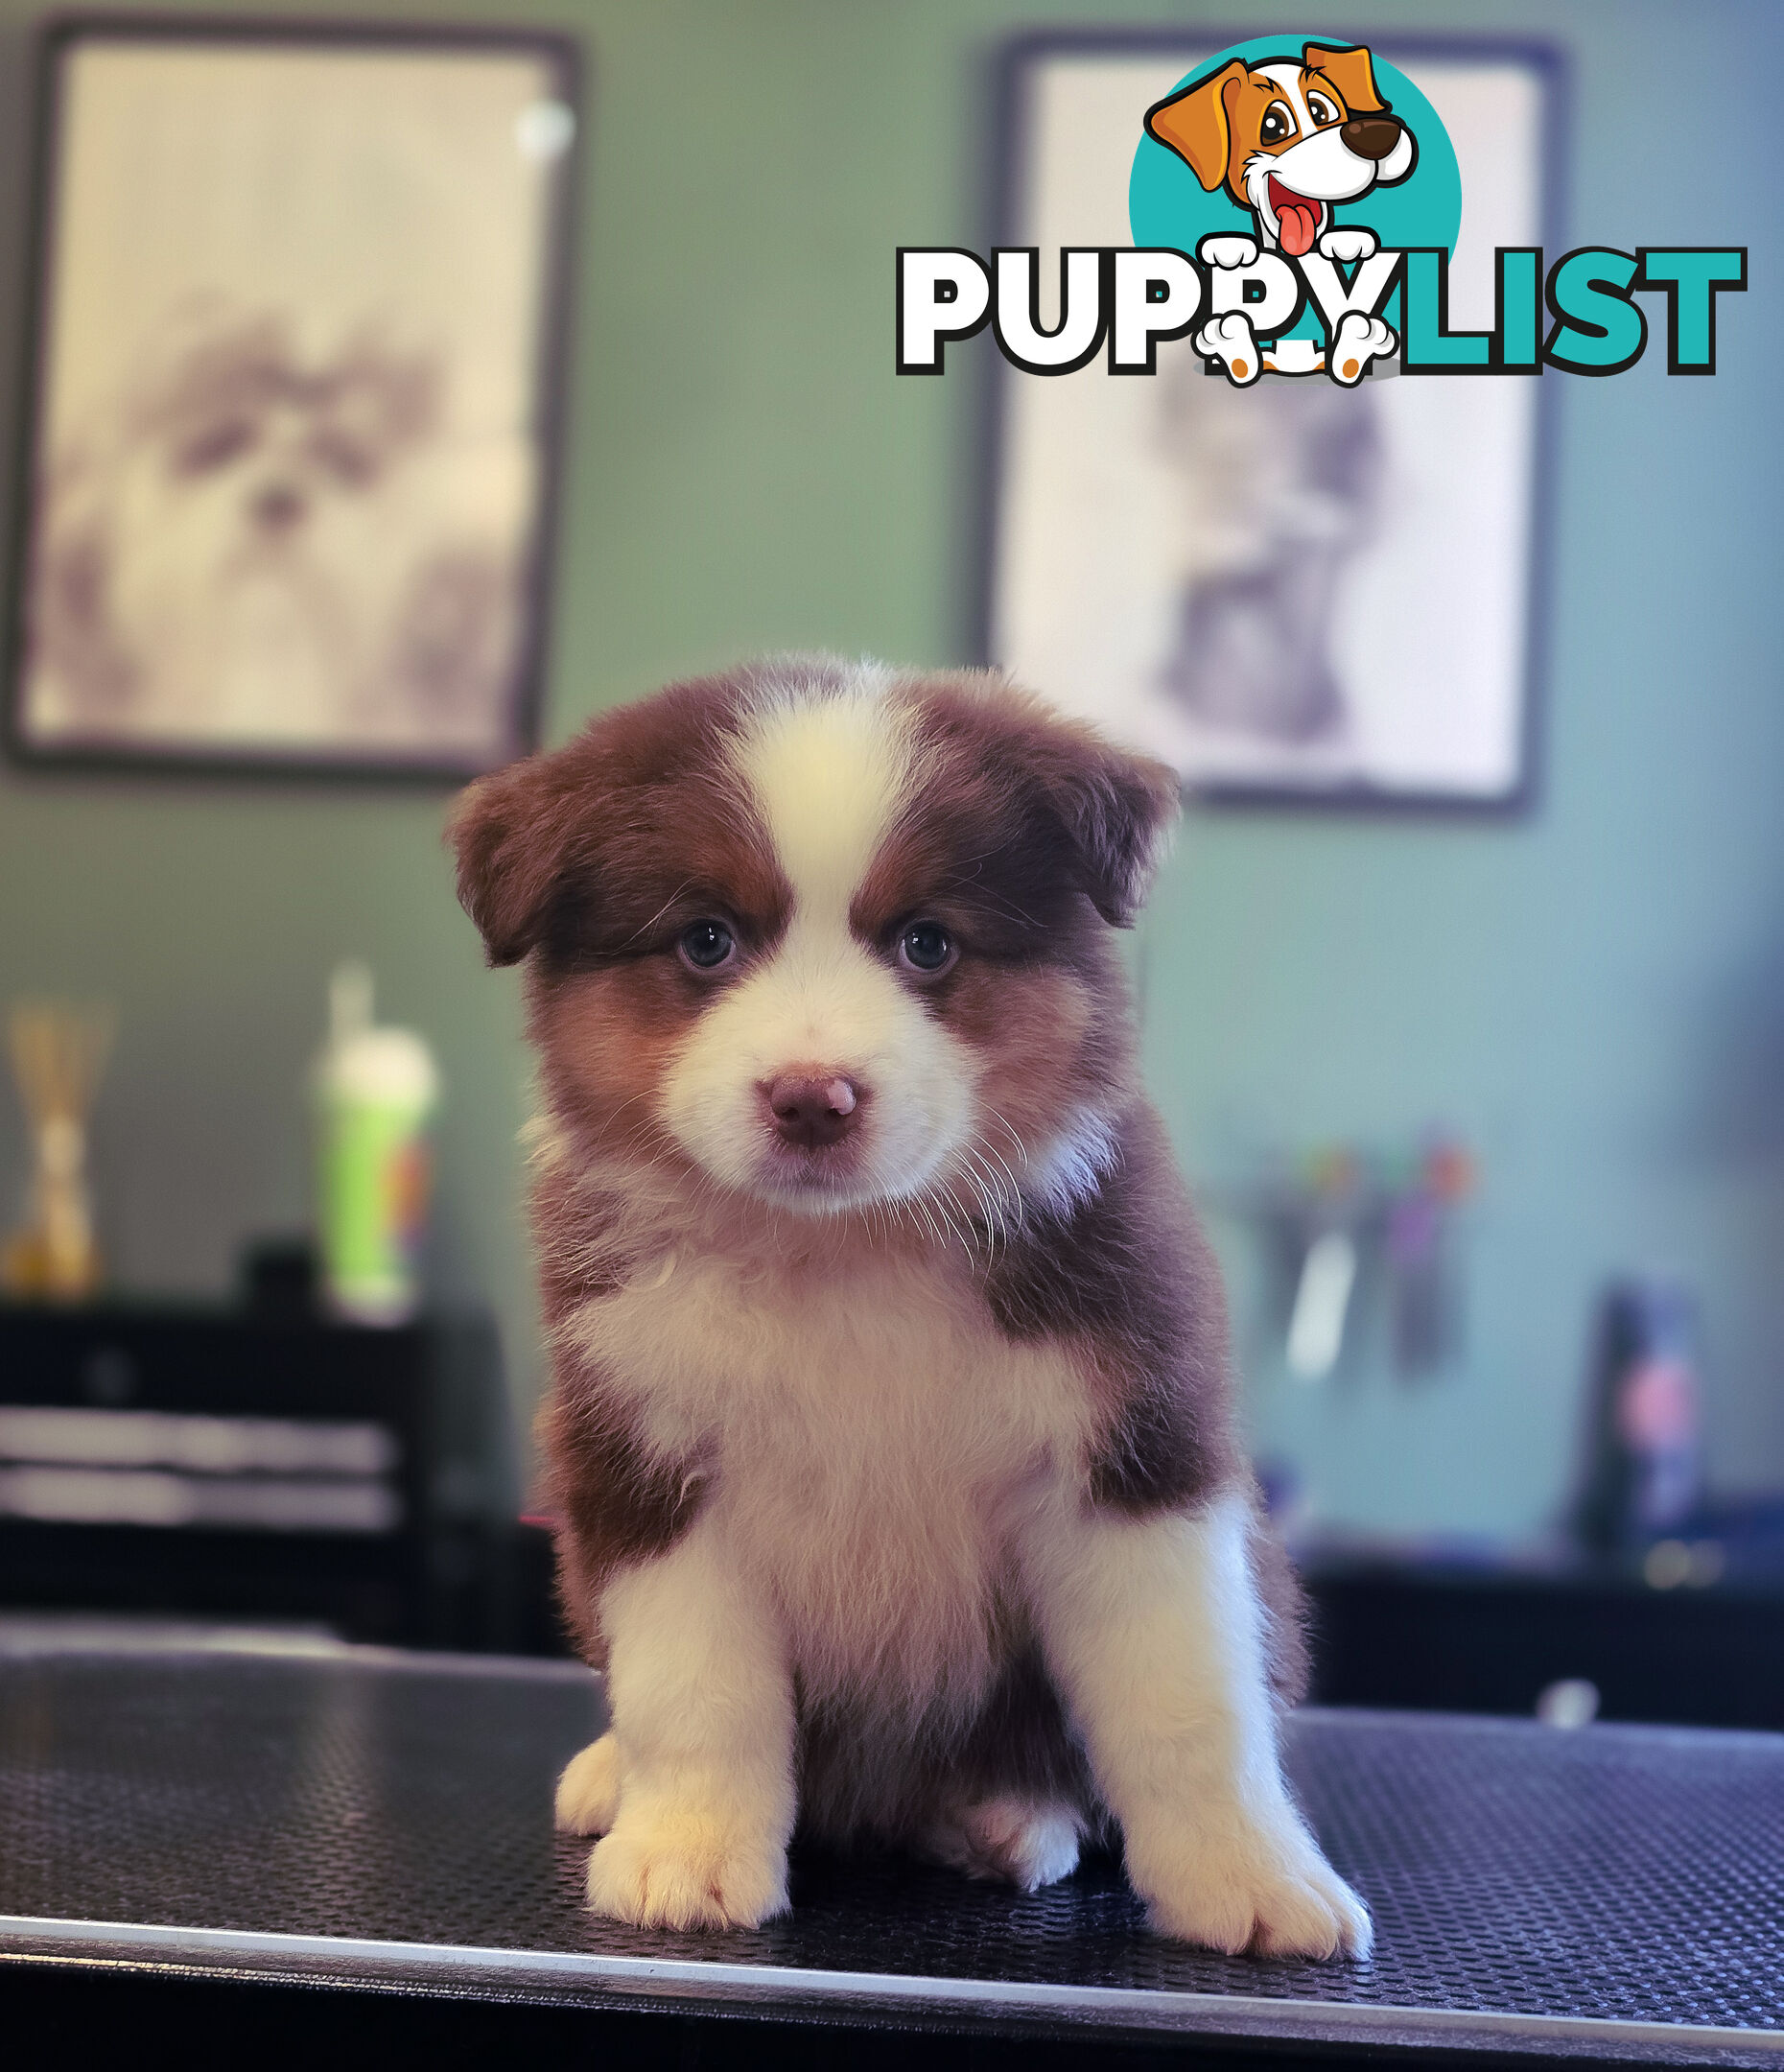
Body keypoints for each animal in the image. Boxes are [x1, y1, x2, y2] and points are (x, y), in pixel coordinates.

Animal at [451, 658, 1367, 1956]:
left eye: (927, 943)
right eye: (705, 940)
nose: (812, 1098)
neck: (847, 1250)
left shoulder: (1135, 1442)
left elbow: (1185, 1694)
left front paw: (1248, 1878)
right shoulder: (643, 1456)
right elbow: (695, 1688)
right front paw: (688, 1853)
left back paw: (1007, 1818)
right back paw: (612, 1775)